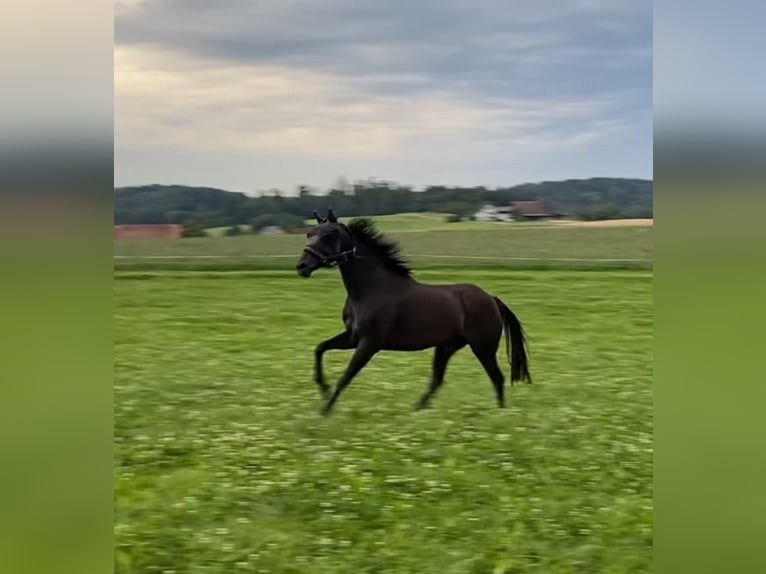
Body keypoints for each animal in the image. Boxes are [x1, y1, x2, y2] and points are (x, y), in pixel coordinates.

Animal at [296, 209, 532, 416]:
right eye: (309, 234)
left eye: (330, 234)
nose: (302, 266)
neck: (371, 289)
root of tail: (491, 298)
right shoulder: (353, 338)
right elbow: (320, 348)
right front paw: (323, 388)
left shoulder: (369, 343)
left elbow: (346, 375)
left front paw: (325, 409)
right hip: (446, 346)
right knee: (438, 379)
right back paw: (417, 410)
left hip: (482, 347)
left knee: (497, 378)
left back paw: (500, 413)